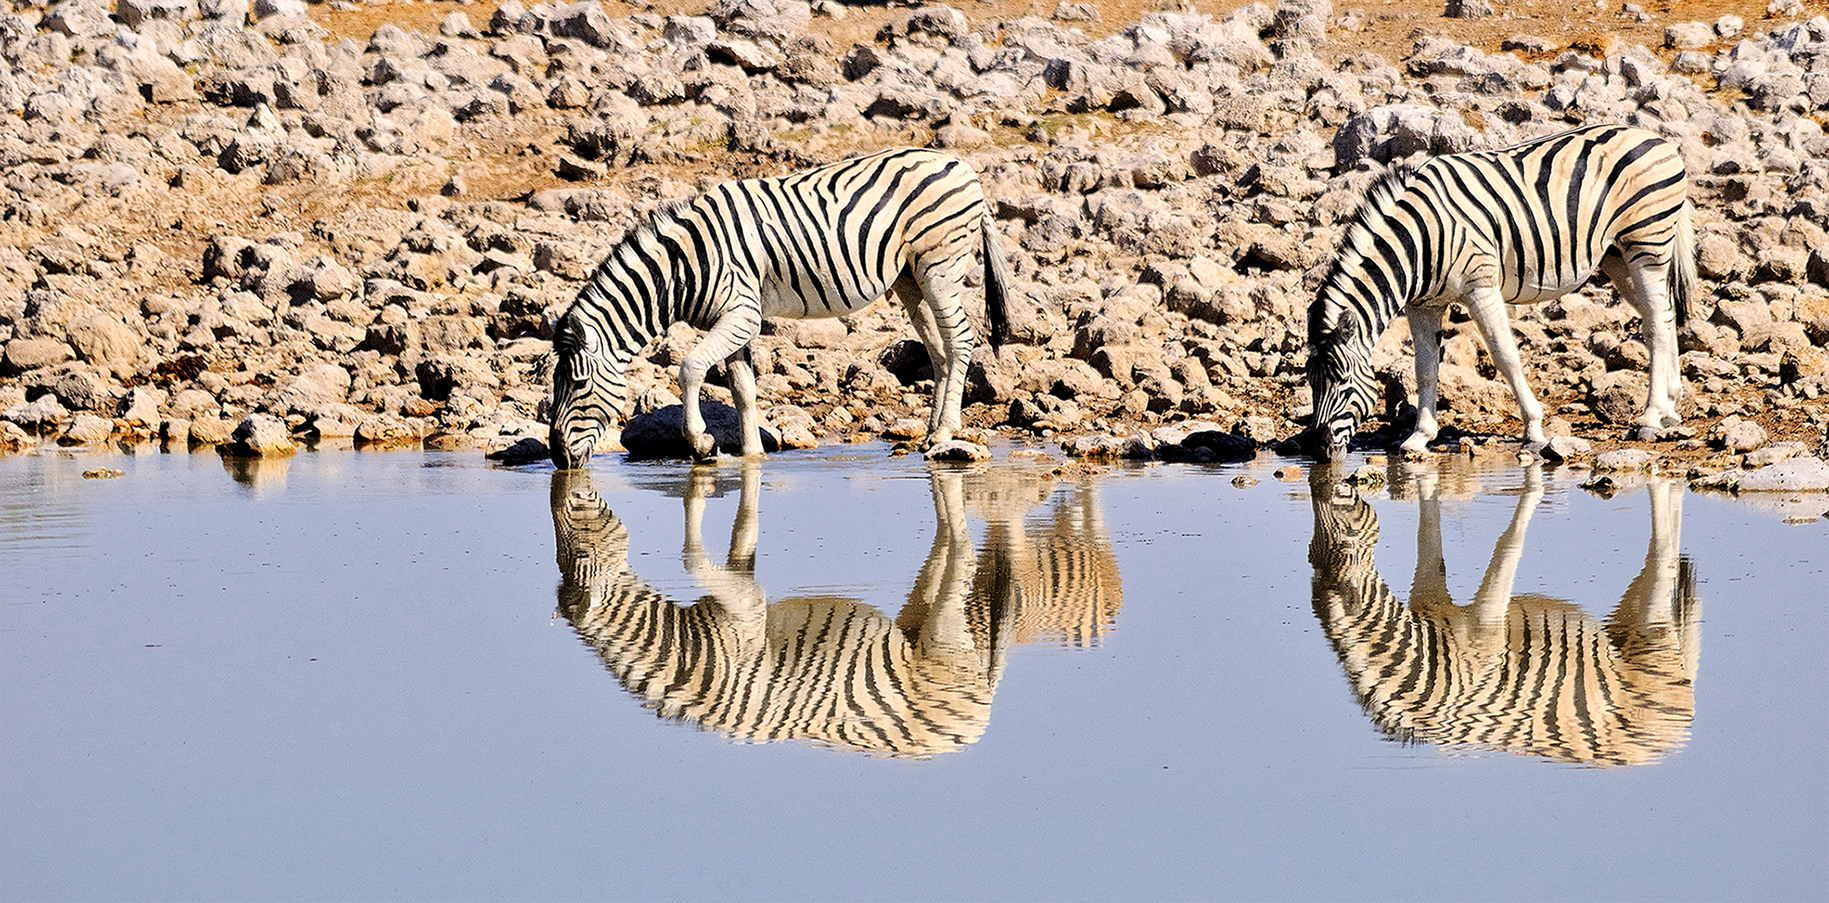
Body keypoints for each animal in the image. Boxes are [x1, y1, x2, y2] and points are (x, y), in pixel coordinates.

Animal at [548, 144, 1024, 467]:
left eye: (578, 385)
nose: (557, 458)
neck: (684, 266)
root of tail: (962, 166)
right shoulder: (734, 320)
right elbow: (742, 388)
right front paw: (751, 455)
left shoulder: (742, 314)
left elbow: (690, 367)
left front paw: (701, 442)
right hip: (910, 277)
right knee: (940, 351)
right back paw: (930, 433)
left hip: (940, 265)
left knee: (961, 340)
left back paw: (945, 431)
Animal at [1309, 124, 1689, 462]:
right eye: (1311, 383)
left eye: (1342, 381)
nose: (1320, 450)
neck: (1417, 242)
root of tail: (1656, 137)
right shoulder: (1424, 305)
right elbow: (1425, 368)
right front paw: (1419, 437)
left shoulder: (1481, 286)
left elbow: (1505, 356)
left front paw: (1534, 430)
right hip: (1616, 256)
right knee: (1664, 314)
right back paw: (1671, 405)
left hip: (1647, 245)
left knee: (1655, 324)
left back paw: (1651, 417)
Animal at [1309, 466, 1689, 767]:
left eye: (1343, 538)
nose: (1336, 481)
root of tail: (1677, 735)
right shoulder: (1429, 595)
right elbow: (1428, 538)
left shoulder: (1485, 631)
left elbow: (1507, 544)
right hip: (1624, 623)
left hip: (1650, 631)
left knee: (1662, 558)